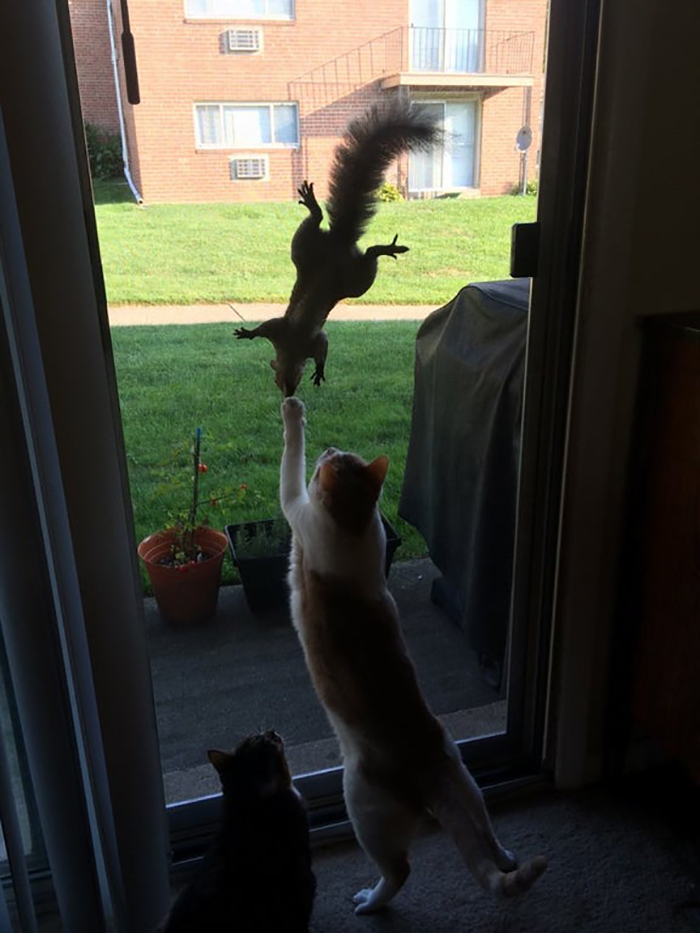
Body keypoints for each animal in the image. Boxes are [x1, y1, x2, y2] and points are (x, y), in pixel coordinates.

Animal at [235, 100, 438, 396]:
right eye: (277, 379)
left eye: (287, 378)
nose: (289, 393)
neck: (293, 346)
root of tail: (340, 240)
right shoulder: (280, 331)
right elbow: (265, 328)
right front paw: (247, 333)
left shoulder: (300, 336)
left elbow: (321, 348)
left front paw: (319, 371)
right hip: (313, 251)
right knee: (337, 235)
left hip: (346, 272)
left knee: (351, 243)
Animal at [278, 396, 548, 912]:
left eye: (331, 459)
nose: (331, 446)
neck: (355, 524)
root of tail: (425, 761)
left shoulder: (298, 509)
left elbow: (290, 464)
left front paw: (294, 411)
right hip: (465, 776)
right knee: (484, 830)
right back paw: (504, 856)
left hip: (360, 801)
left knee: (399, 870)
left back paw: (369, 901)